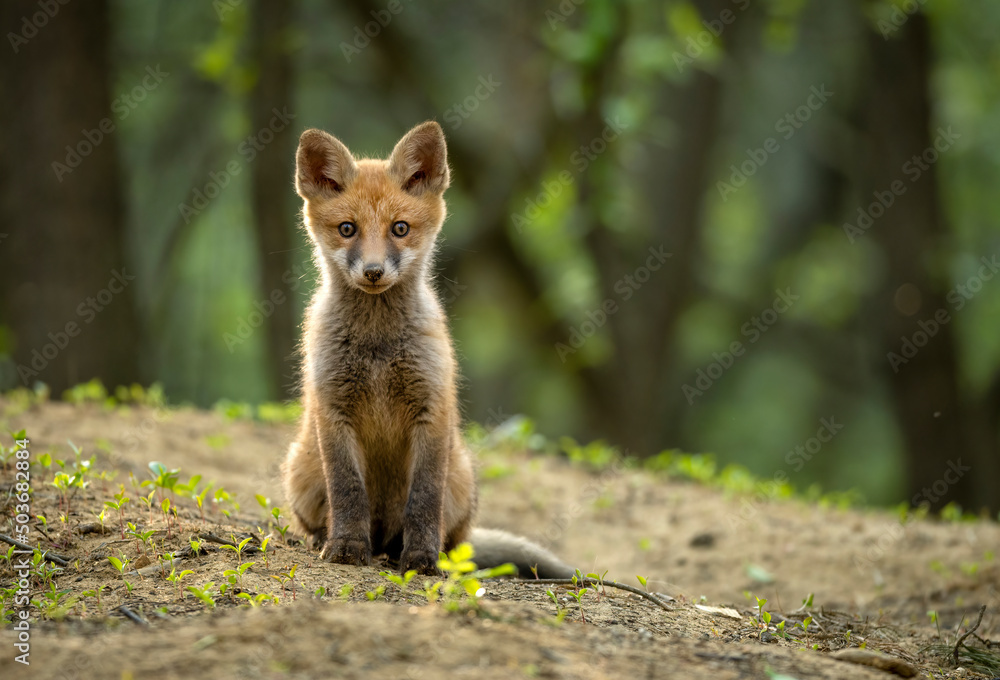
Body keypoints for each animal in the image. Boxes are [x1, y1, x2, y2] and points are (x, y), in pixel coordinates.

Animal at [281, 121, 574, 577]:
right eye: (347, 229)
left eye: (400, 228)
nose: (373, 271)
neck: (378, 347)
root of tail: (383, 535)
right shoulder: (333, 408)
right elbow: (347, 490)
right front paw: (346, 546)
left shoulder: (431, 409)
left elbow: (423, 499)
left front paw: (421, 559)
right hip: (299, 469)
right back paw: (327, 540)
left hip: (462, 478)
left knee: (453, 539)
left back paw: (419, 553)